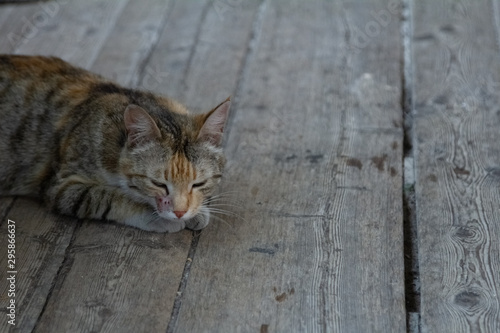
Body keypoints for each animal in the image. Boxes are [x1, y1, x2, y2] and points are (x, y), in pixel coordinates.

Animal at [0, 54, 230, 232]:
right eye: (158, 184)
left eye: (199, 183)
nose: (180, 212)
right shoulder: (60, 186)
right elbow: (107, 197)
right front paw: (156, 217)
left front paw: (198, 210)